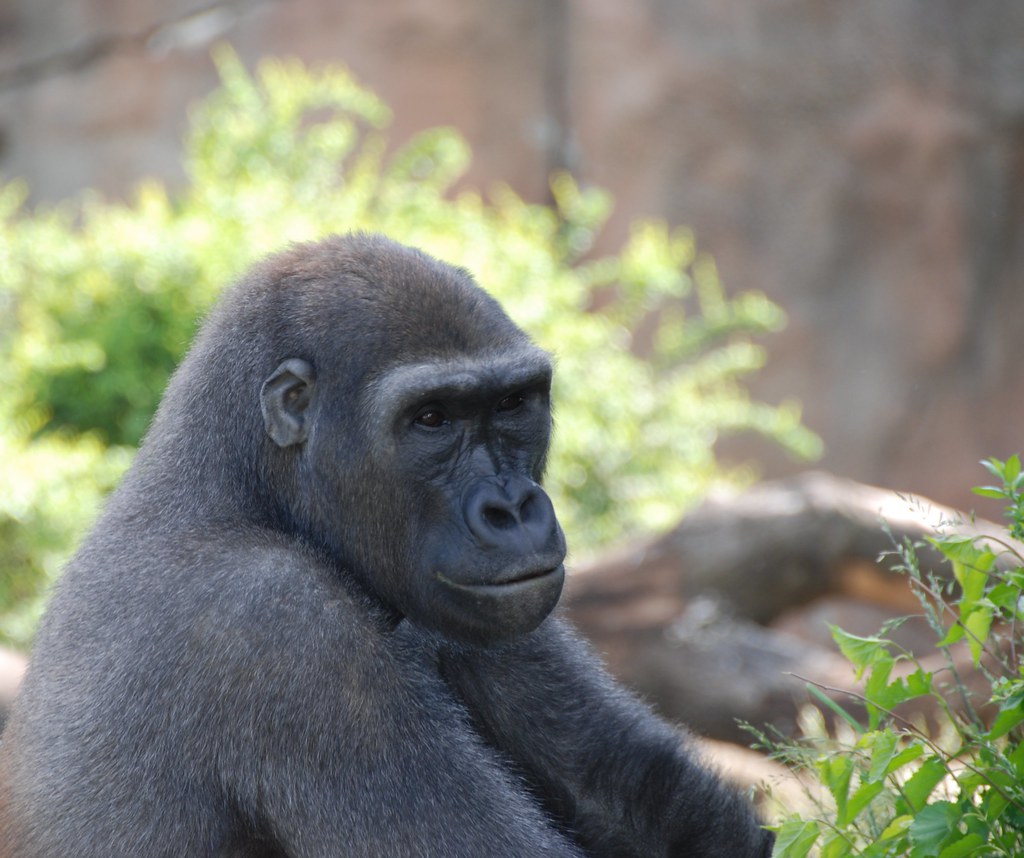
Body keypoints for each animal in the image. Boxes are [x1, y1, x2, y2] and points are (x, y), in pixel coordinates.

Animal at [0, 235, 770, 858]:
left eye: (513, 404)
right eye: (431, 419)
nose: (512, 509)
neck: (238, 487)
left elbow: (636, 797)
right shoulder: (277, 623)